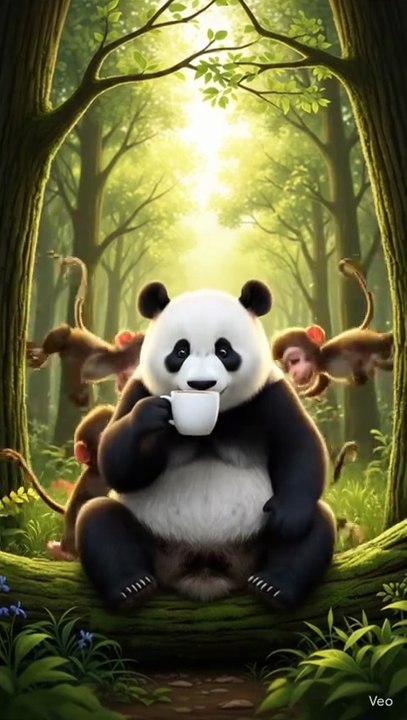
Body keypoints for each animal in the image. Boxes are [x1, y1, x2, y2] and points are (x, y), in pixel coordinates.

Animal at [76, 280, 336, 611]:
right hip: (153, 535)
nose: (201, 385)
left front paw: (288, 520)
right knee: (100, 520)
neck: (214, 418)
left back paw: (273, 587)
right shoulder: (139, 388)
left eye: (224, 350)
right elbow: (116, 464)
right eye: (180, 350)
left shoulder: (271, 393)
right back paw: (132, 587)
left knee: (315, 526)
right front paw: (150, 418)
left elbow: (299, 447)